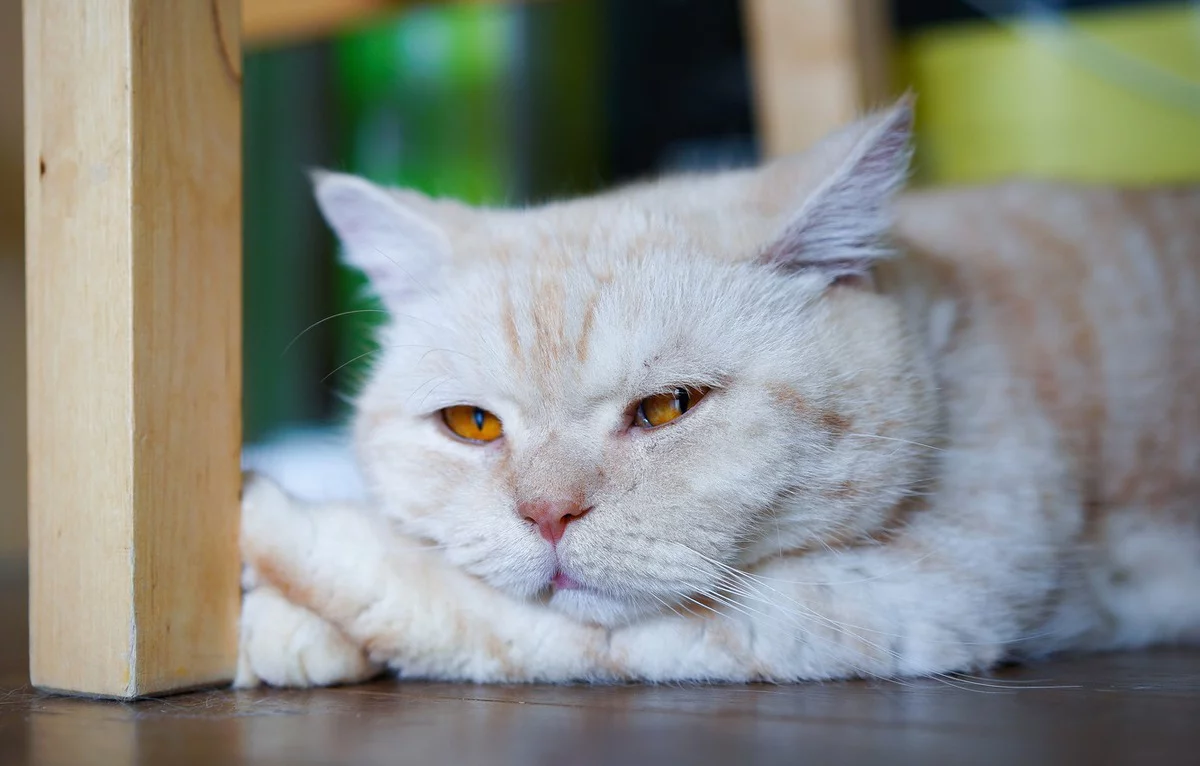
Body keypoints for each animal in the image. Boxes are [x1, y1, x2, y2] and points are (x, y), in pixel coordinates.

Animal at [231, 96, 1200, 691]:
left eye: (668, 408)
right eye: (471, 425)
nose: (546, 517)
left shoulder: (897, 595)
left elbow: (453, 600)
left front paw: (260, 537)